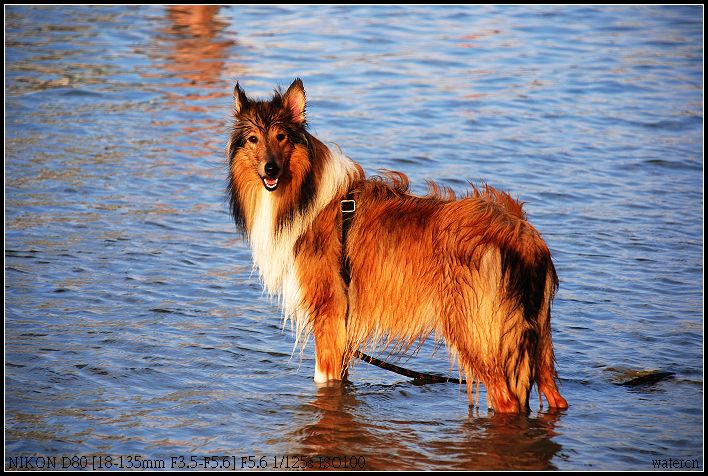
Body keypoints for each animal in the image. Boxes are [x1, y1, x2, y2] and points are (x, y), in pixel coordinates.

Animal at [230, 78, 568, 412]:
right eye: (252, 139)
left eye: (281, 136)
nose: (270, 170)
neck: (303, 194)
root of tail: (521, 236)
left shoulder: (329, 316)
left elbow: (322, 377)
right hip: (538, 343)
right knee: (556, 397)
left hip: (476, 335)